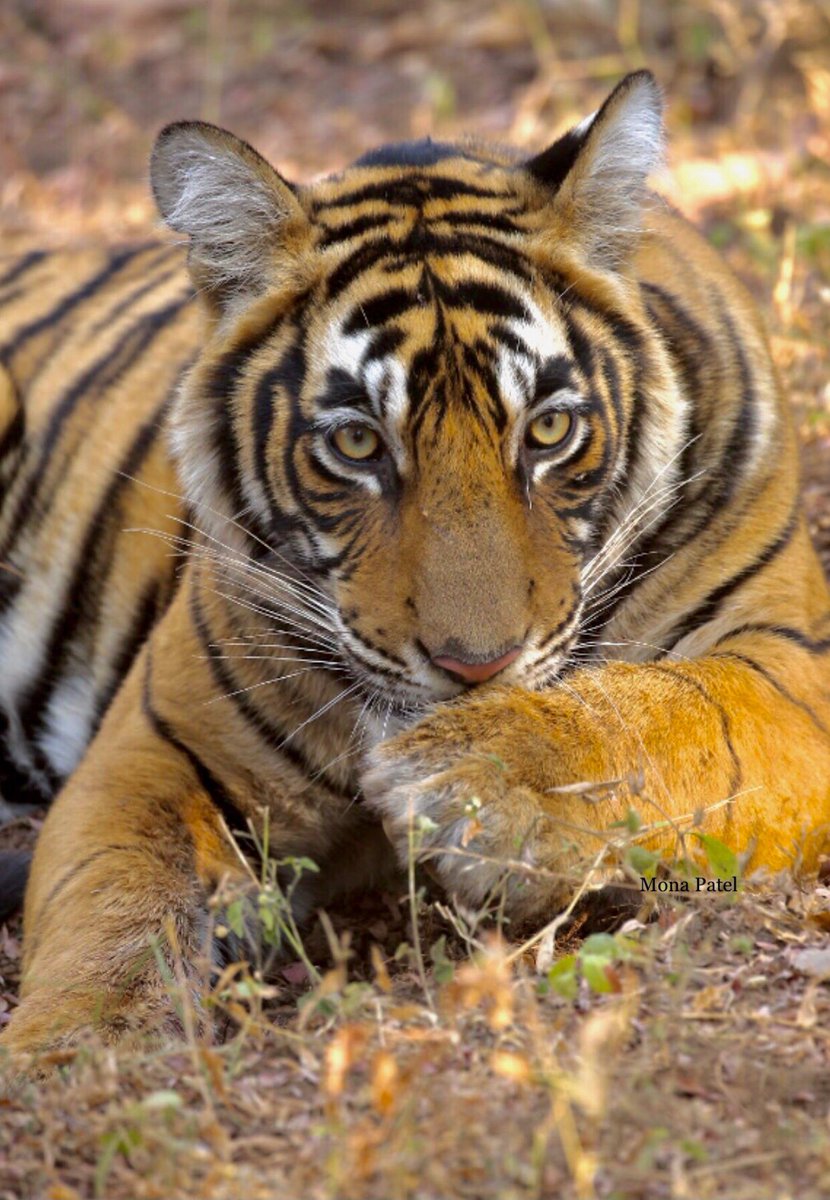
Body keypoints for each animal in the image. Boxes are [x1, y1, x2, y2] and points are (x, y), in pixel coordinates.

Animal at [1, 70, 830, 1056]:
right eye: (357, 442)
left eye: (549, 429)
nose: (477, 668)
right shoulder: (154, 749)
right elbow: (111, 904)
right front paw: (72, 1060)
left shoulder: (790, 667)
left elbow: (669, 714)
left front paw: (476, 779)